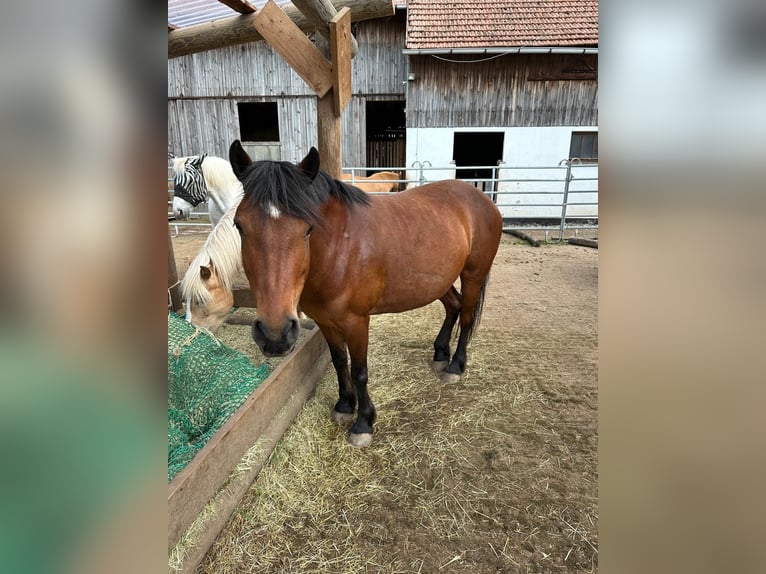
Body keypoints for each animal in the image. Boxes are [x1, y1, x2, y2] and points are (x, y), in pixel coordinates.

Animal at [228, 140, 504, 450]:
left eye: (308, 228)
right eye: (239, 225)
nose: (274, 335)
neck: (339, 248)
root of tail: (481, 198)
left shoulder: (357, 322)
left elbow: (359, 371)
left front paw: (364, 423)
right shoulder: (325, 321)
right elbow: (339, 362)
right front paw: (344, 406)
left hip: (472, 275)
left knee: (467, 317)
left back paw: (455, 366)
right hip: (439, 280)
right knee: (453, 307)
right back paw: (440, 354)